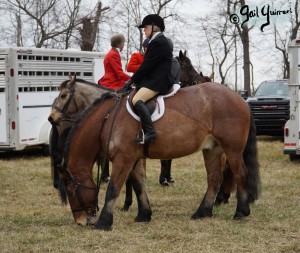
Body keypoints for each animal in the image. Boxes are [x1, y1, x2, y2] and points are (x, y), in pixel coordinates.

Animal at [55, 75, 260, 229]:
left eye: (71, 189)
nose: (81, 221)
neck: (108, 118)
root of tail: (240, 99)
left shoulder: (123, 159)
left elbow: (113, 188)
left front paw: (104, 222)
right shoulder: (135, 159)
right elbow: (139, 185)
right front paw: (144, 215)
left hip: (232, 149)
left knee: (241, 174)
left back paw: (240, 212)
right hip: (212, 149)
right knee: (215, 178)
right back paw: (203, 212)